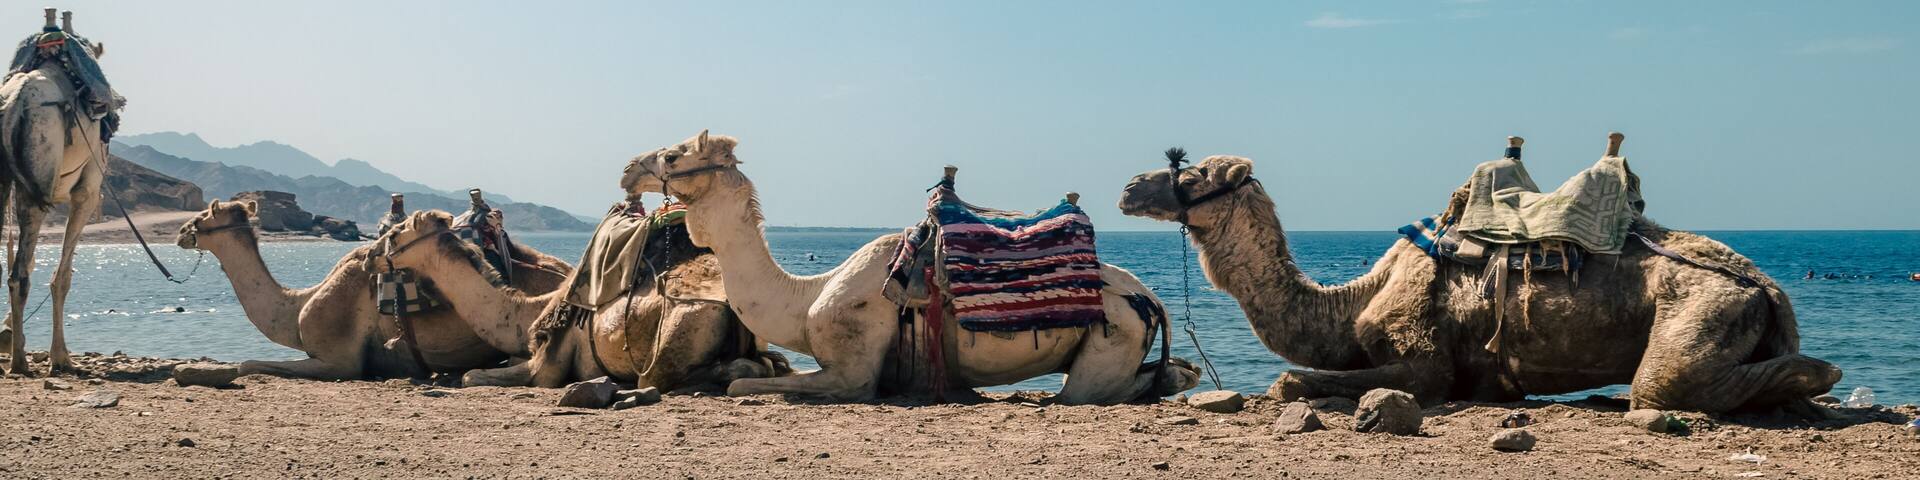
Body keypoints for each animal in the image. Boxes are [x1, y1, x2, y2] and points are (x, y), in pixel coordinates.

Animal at [0, 10, 119, 375]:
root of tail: (14, 105)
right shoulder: (87, 191)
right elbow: (62, 276)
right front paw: (61, 357)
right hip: (36, 185)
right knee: (20, 275)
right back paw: (22, 362)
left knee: (16, 270)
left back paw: (17, 356)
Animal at [376, 209, 785, 390]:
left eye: (394, 235)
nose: (372, 255)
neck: (526, 313)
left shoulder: (546, 368)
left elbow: (471, 375)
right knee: (759, 365)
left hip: (684, 323)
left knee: (659, 375)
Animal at [641, 131, 1199, 404]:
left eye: (674, 155)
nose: (633, 167)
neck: (806, 300)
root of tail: (1153, 301)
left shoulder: (853, 367)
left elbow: (745, 386)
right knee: (1172, 373)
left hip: (1114, 333)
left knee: (1091, 392)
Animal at [1115, 139, 1842, 415]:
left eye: (1194, 171)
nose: (1127, 187)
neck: (1352, 304)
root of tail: (1767, 286)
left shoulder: (1426, 359)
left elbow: (1291, 377)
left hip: (1704, 308)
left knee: (1664, 386)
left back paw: (1822, 372)